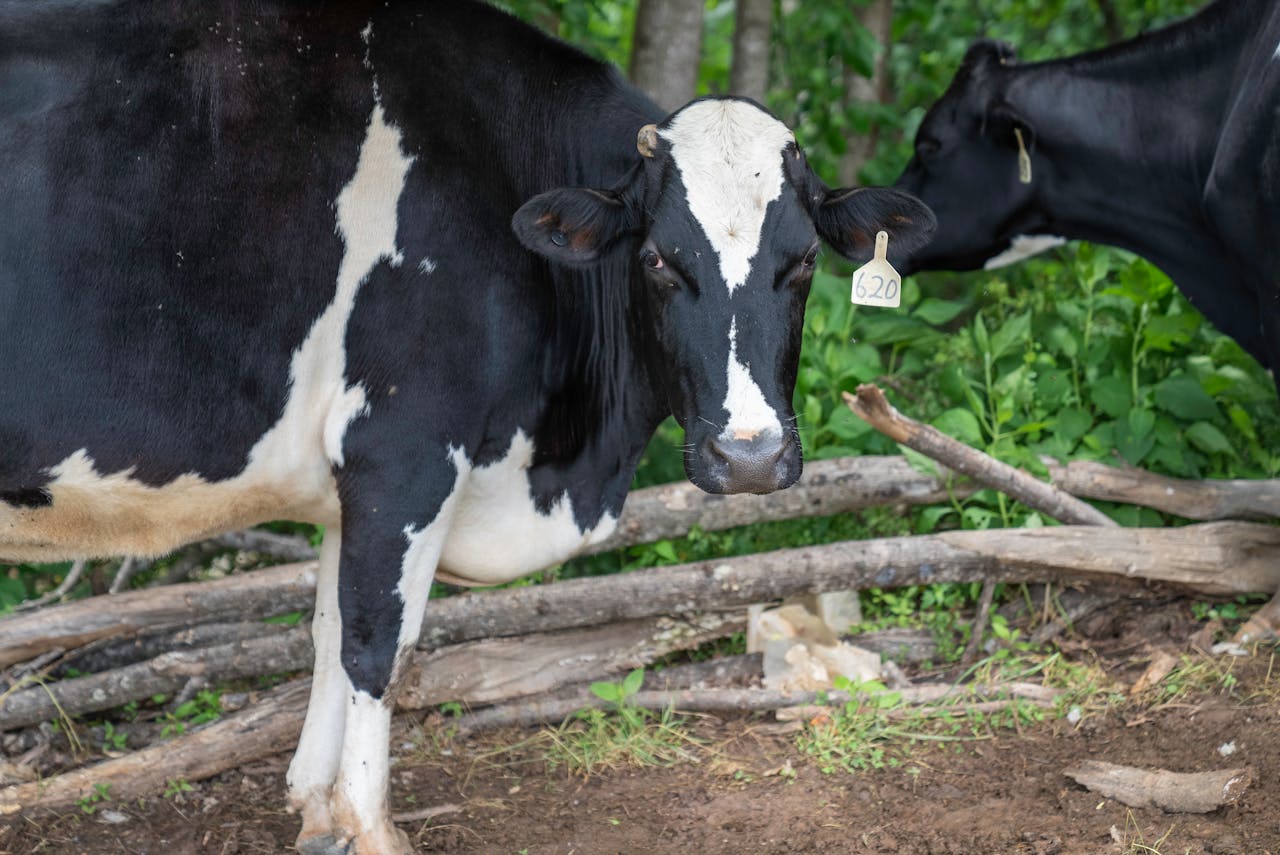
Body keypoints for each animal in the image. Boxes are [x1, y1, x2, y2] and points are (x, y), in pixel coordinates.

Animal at [0, 1, 934, 851]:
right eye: (660, 260)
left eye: (803, 260)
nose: (749, 456)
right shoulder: (404, 447)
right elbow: (377, 639)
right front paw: (371, 826)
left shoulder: (355, 477)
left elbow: (330, 630)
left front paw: (319, 811)